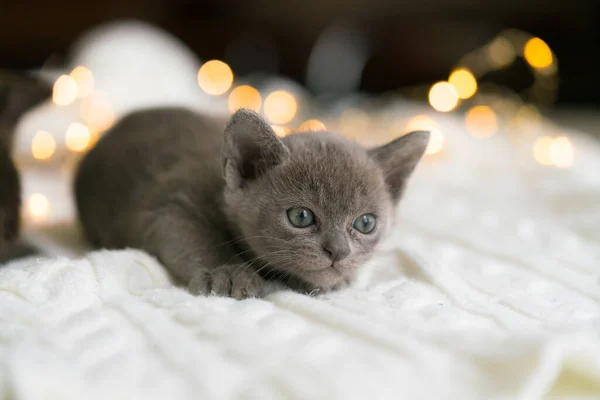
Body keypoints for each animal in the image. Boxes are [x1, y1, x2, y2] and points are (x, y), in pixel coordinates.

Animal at [75, 108, 428, 298]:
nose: (339, 252)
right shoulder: (169, 204)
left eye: (365, 223)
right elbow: (195, 236)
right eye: (301, 217)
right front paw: (228, 273)